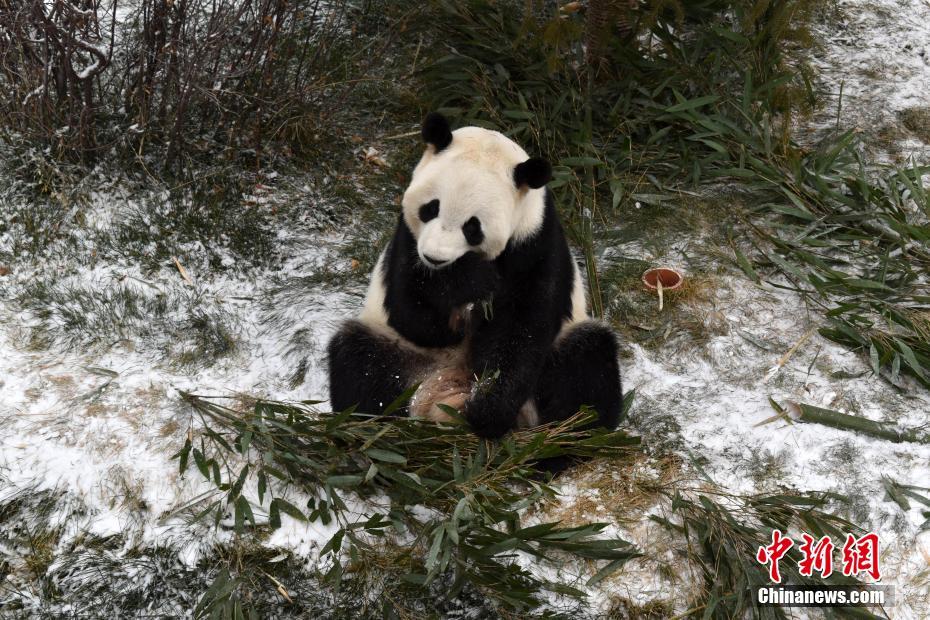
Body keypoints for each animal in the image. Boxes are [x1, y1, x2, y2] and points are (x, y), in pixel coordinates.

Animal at [328, 112, 624, 440]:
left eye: (473, 227)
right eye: (431, 208)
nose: (434, 257)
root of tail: (445, 394)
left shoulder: (536, 242)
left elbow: (522, 328)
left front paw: (488, 409)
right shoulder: (405, 241)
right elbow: (413, 314)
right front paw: (469, 282)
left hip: (562, 354)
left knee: (587, 367)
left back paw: (568, 436)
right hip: (401, 354)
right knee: (360, 364)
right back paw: (374, 429)